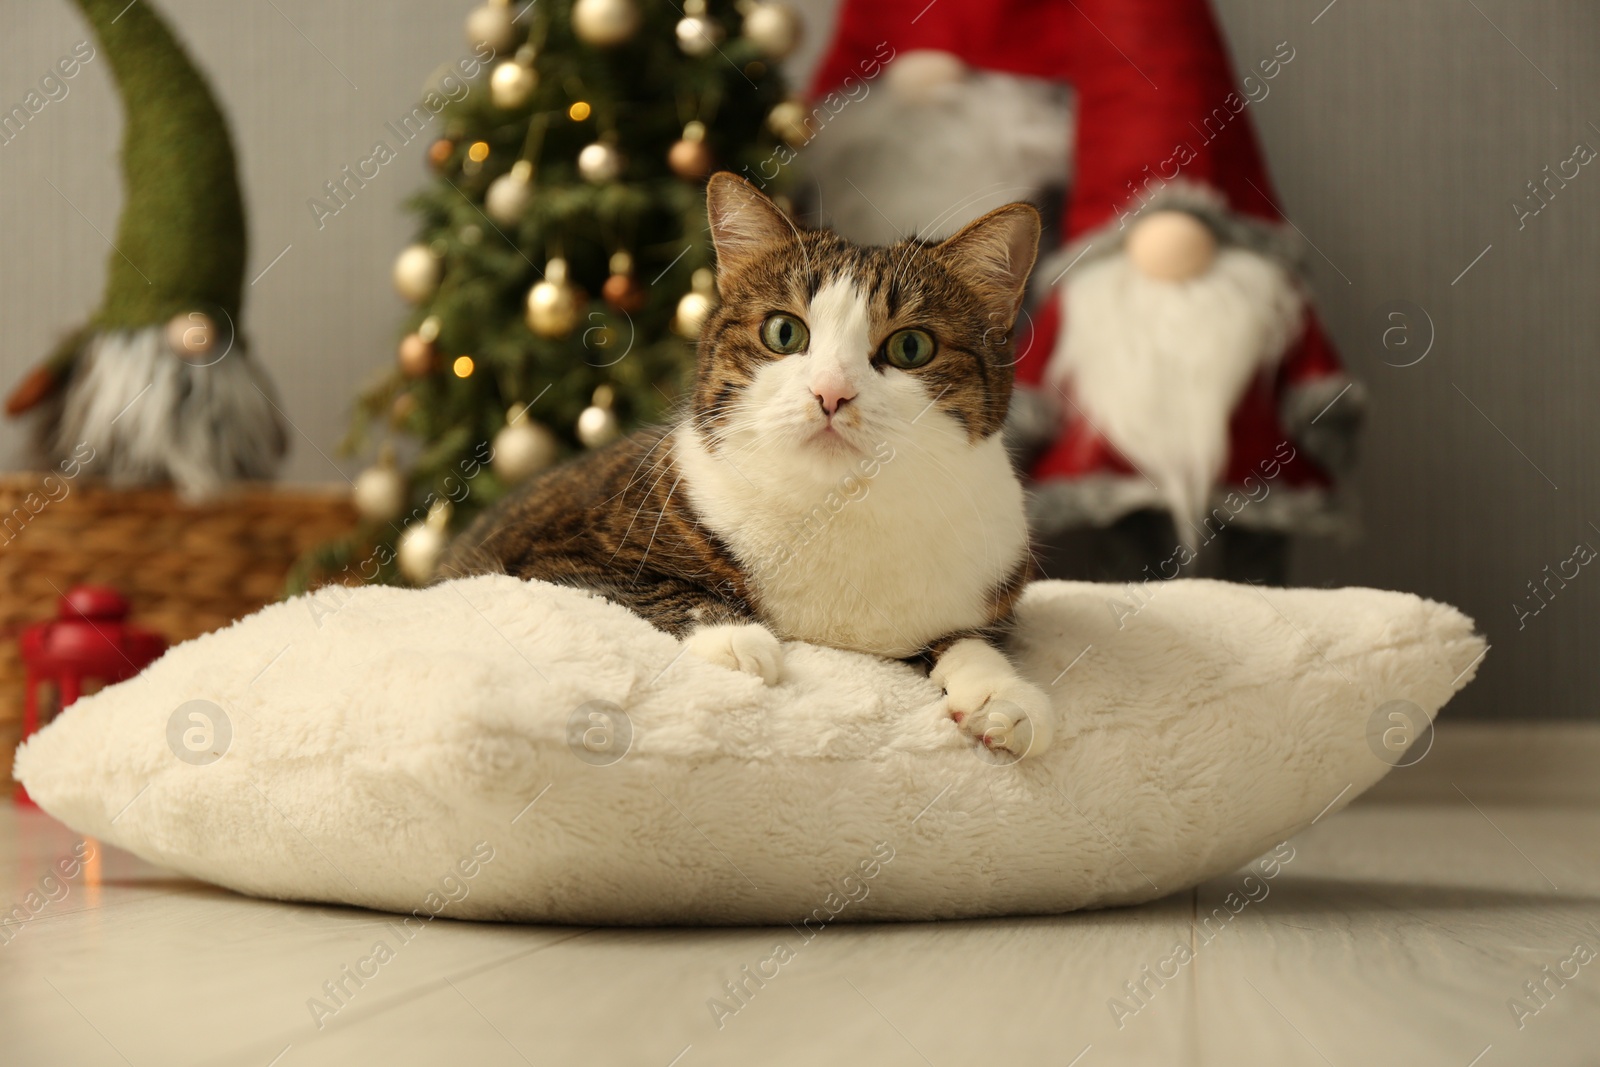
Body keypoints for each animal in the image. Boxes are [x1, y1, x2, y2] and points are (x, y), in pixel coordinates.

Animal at [444, 173, 1056, 758]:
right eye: (784, 332)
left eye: (911, 347)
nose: (831, 393)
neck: (837, 506)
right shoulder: (546, 556)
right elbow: (646, 588)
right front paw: (735, 639)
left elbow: (969, 638)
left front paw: (1001, 694)